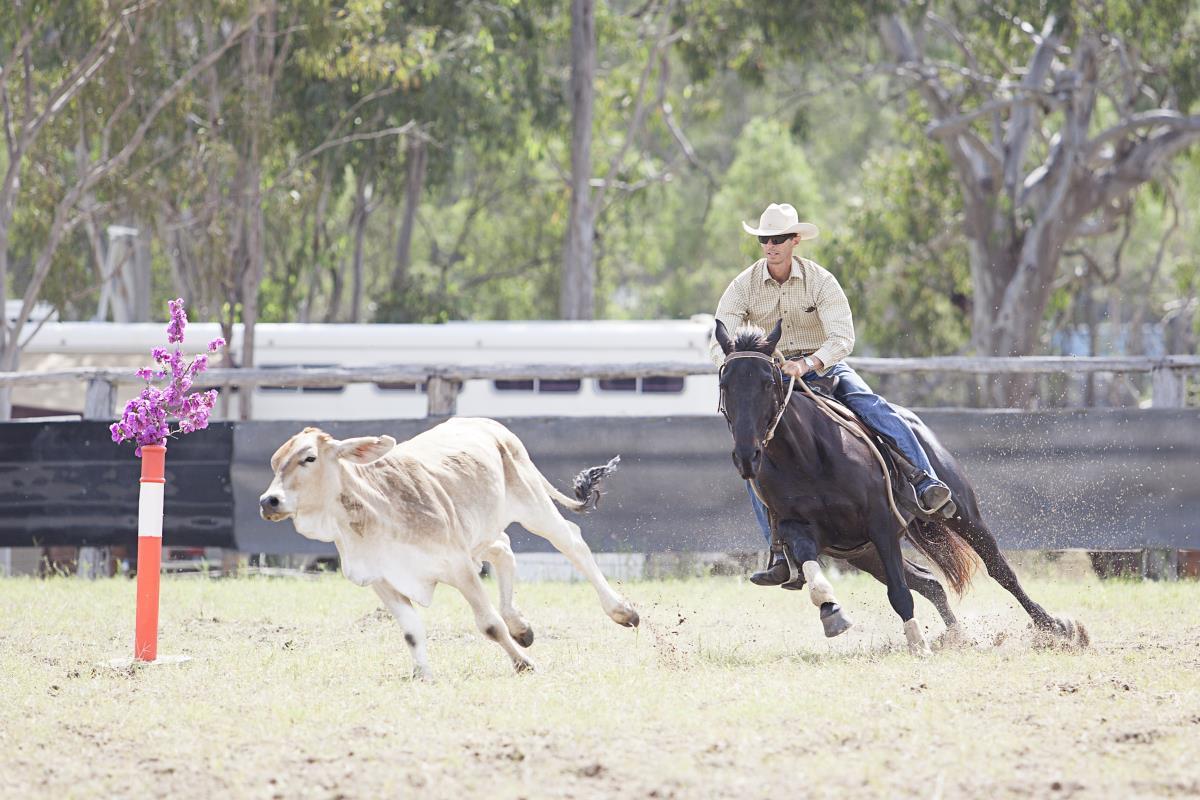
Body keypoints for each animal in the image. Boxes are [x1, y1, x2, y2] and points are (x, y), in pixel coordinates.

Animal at [714, 319, 1088, 654]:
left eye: (767, 382)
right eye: (725, 384)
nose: (747, 455)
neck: (807, 456)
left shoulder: (881, 523)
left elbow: (899, 593)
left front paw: (918, 645)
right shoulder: (797, 528)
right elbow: (812, 570)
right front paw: (832, 614)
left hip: (962, 515)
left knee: (999, 570)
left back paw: (1056, 628)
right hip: (862, 553)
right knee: (930, 583)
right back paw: (958, 637)